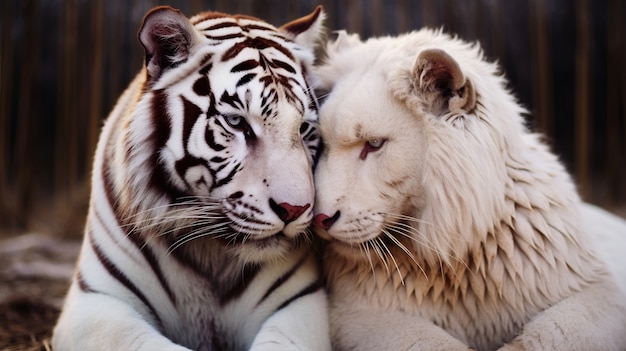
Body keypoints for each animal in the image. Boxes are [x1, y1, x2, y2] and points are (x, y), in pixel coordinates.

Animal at [52, 5, 332, 351]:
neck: (208, 251)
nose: (294, 210)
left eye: (304, 127)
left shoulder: (299, 303)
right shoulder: (96, 302)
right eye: (237, 122)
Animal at [310, 29, 624, 351]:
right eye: (322, 145)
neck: (457, 256)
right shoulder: (360, 314)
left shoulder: (596, 290)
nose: (319, 219)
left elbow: (546, 335)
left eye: (373, 145)